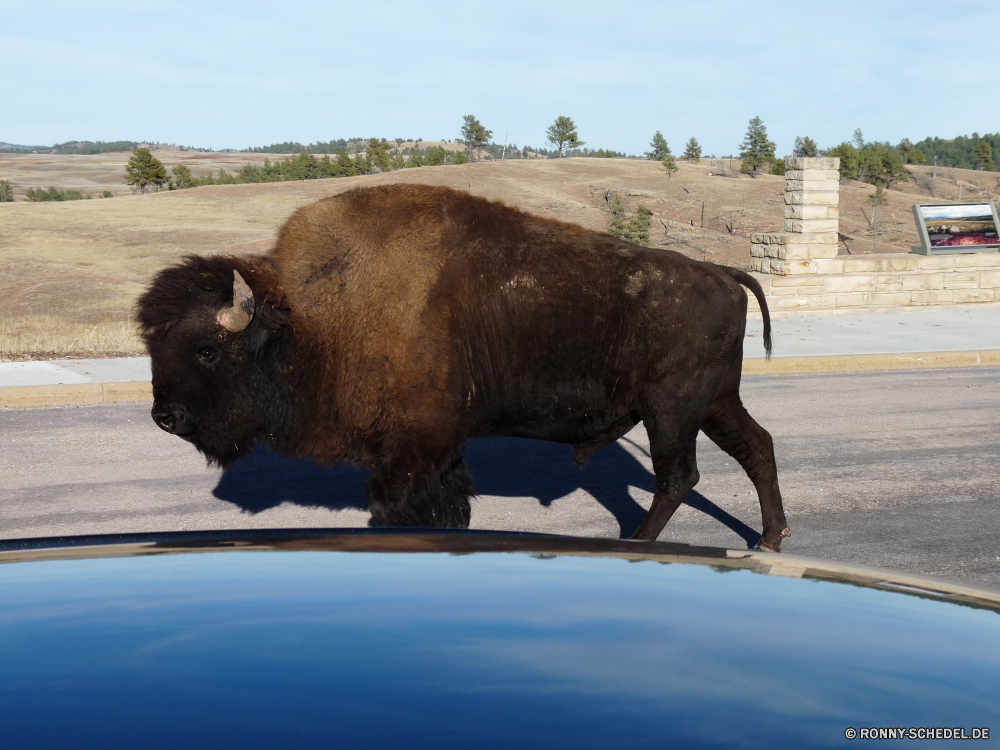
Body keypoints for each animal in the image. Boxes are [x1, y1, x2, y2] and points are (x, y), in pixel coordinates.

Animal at [139, 184, 788, 552]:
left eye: (207, 350)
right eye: (153, 344)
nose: (164, 416)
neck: (315, 318)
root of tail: (722, 273)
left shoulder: (412, 450)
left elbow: (399, 508)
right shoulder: (437, 448)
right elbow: (450, 503)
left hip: (671, 409)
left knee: (679, 474)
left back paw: (640, 542)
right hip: (713, 402)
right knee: (756, 447)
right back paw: (771, 538)